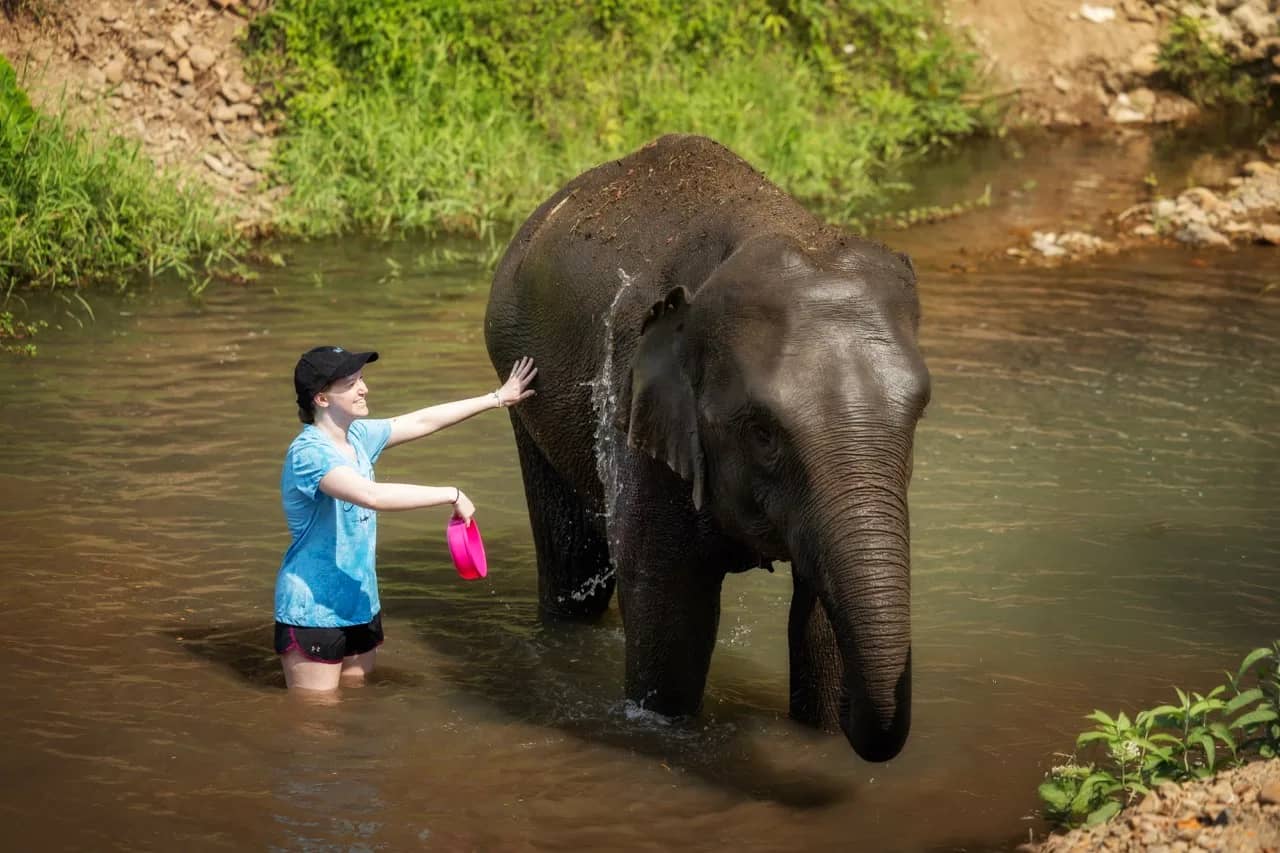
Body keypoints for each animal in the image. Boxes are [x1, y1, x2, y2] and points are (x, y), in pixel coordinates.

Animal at [484, 134, 930, 762]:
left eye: (918, 412)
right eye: (763, 433)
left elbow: (820, 618)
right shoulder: (639, 407)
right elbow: (671, 609)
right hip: (521, 380)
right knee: (573, 561)